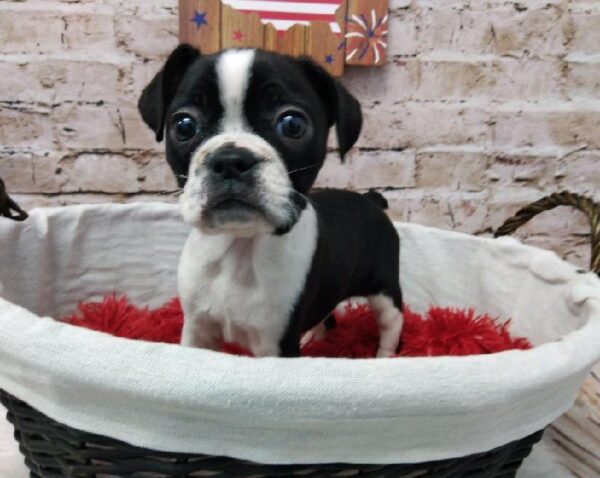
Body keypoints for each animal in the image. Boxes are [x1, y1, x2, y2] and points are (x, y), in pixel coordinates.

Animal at [139, 44, 404, 356]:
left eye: (292, 124)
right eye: (183, 126)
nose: (230, 160)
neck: (239, 246)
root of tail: (371, 200)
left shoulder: (276, 344)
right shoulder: (197, 330)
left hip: (384, 289)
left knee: (391, 324)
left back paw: (382, 357)